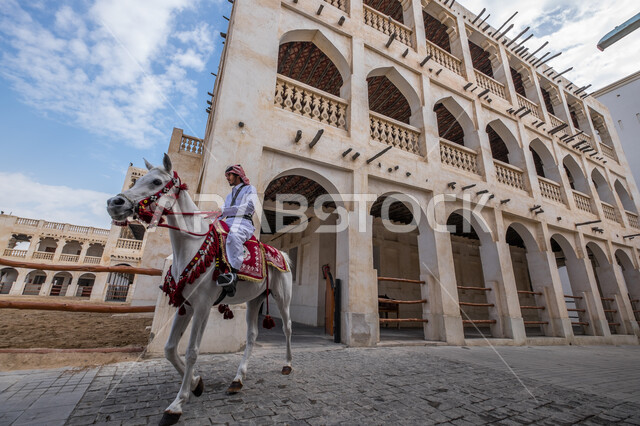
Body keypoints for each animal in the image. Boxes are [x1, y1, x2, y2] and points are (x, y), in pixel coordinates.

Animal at [106, 154, 293, 426]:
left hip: (282, 297)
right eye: (139, 179)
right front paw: (196, 383)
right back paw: (237, 379)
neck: (192, 245)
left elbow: (192, 351)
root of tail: (282, 254)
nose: (114, 203)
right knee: (251, 336)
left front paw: (177, 404)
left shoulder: (203, 306)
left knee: (287, 327)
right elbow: (169, 348)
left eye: (156, 181)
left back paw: (288, 364)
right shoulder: (185, 305)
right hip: (254, 301)